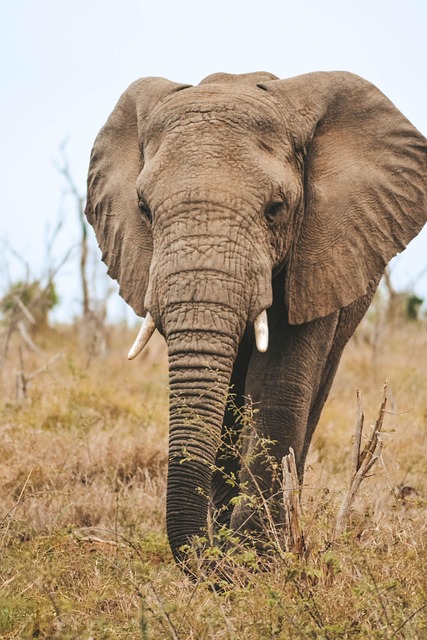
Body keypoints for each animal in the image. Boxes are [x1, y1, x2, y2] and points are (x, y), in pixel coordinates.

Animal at [85, 71, 427, 565]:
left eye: (276, 208)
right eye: (144, 209)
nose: (209, 558)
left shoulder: (319, 248)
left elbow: (280, 380)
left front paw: (254, 557)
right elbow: (223, 389)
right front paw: (237, 553)